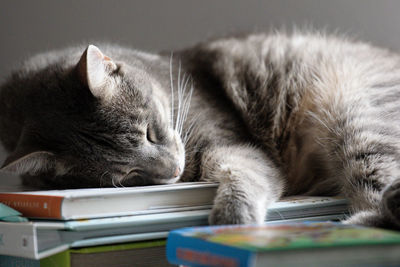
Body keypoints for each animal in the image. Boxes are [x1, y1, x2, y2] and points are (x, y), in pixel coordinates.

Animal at [0, 30, 400, 228]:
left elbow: (239, 171)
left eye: (149, 132)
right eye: (126, 176)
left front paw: (231, 218)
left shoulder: (226, 141)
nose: (175, 171)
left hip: (355, 120)